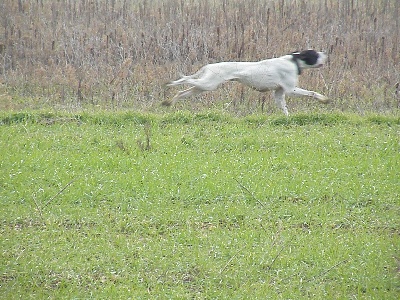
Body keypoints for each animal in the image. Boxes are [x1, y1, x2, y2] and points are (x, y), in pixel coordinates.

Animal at [162, 49, 328, 115]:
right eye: (314, 54)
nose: (325, 53)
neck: (294, 61)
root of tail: (208, 66)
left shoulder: (279, 93)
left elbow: (284, 109)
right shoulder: (291, 89)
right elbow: (312, 93)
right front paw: (324, 99)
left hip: (203, 86)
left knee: (181, 91)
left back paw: (168, 101)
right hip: (207, 84)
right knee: (186, 80)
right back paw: (170, 84)